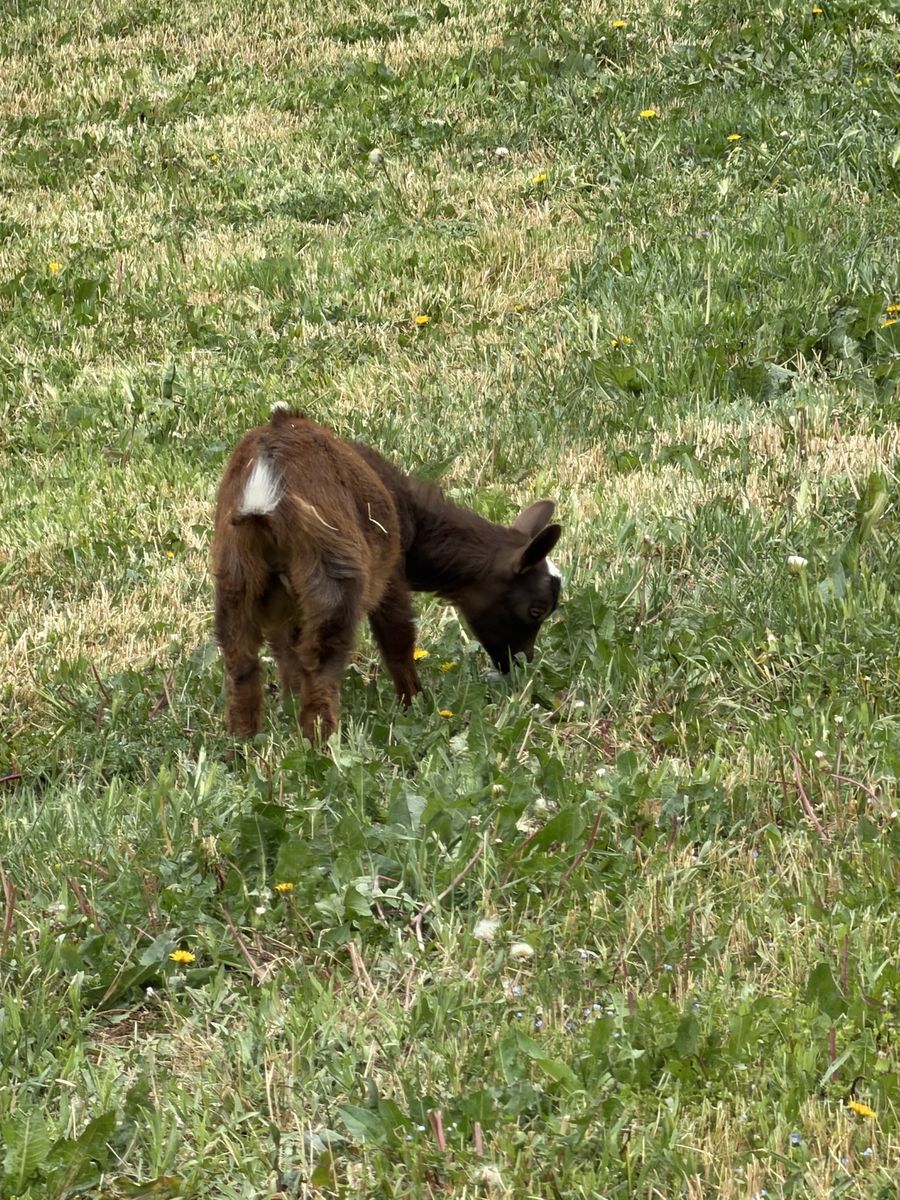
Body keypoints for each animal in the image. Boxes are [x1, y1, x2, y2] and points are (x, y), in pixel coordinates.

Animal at [212, 408, 562, 740]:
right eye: (536, 610)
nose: (520, 664)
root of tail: (264, 482)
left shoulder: (286, 603)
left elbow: (287, 652)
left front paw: (288, 705)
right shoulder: (391, 572)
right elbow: (398, 639)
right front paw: (416, 703)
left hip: (236, 572)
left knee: (241, 657)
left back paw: (242, 744)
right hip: (334, 570)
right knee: (320, 659)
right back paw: (320, 742)